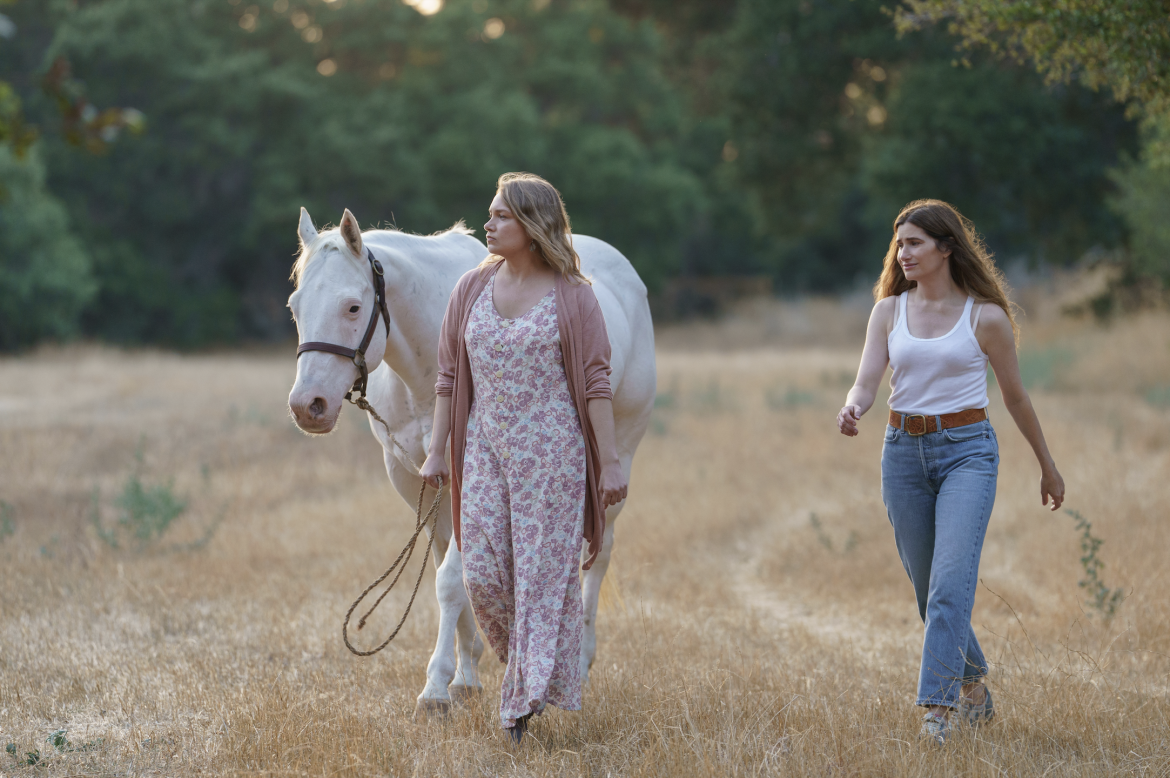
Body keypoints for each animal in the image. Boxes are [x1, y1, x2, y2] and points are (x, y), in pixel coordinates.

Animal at [286, 205, 655, 715]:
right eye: (295, 306)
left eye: (353, 307)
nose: (308, 406)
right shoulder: (417, 481)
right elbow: (452, 572)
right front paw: (465, 674)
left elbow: (449, 581)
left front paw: (435, 688)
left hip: (616, 460)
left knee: (597, 556)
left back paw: (578, 663)